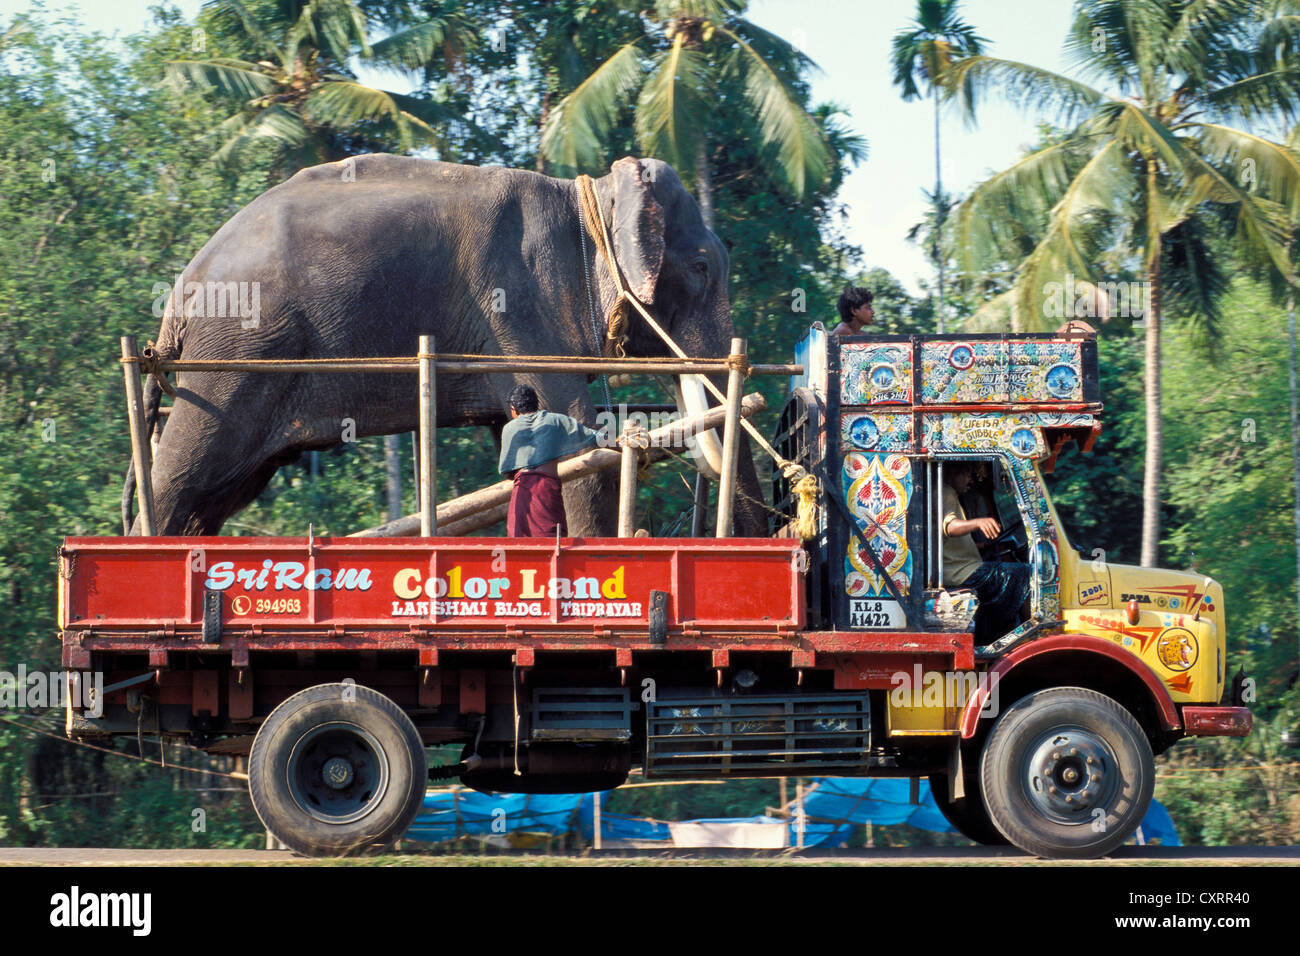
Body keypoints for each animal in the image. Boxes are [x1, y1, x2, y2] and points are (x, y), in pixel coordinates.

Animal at [124, 154, 767, 538]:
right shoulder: (520, 306)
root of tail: (176, 299)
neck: (589, 201)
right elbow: (575, 439)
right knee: (182, 477)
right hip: (235, 360)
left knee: (213, 495)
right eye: (702, 268)